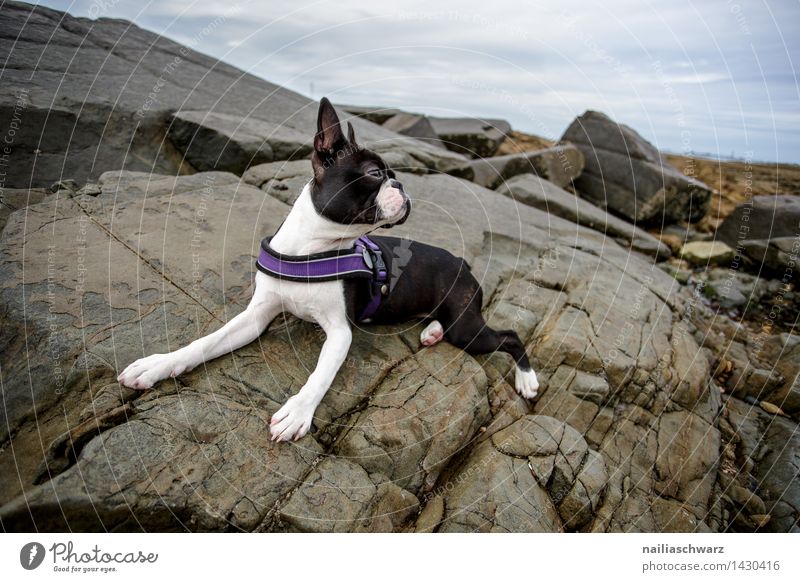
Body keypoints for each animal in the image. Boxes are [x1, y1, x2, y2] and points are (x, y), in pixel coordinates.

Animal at [117, 98, 536, 442]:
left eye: (390, 175)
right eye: (375, 173)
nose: (402, 184)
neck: (312, 250)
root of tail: (463, 261)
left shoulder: (339, 332)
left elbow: (320, 375)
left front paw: (297, 413)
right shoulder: (256, 316)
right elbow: (205, 342)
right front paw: (158, 364)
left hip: (467, 327)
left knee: (511, 337)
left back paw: (528, 379)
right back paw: (432, 332)